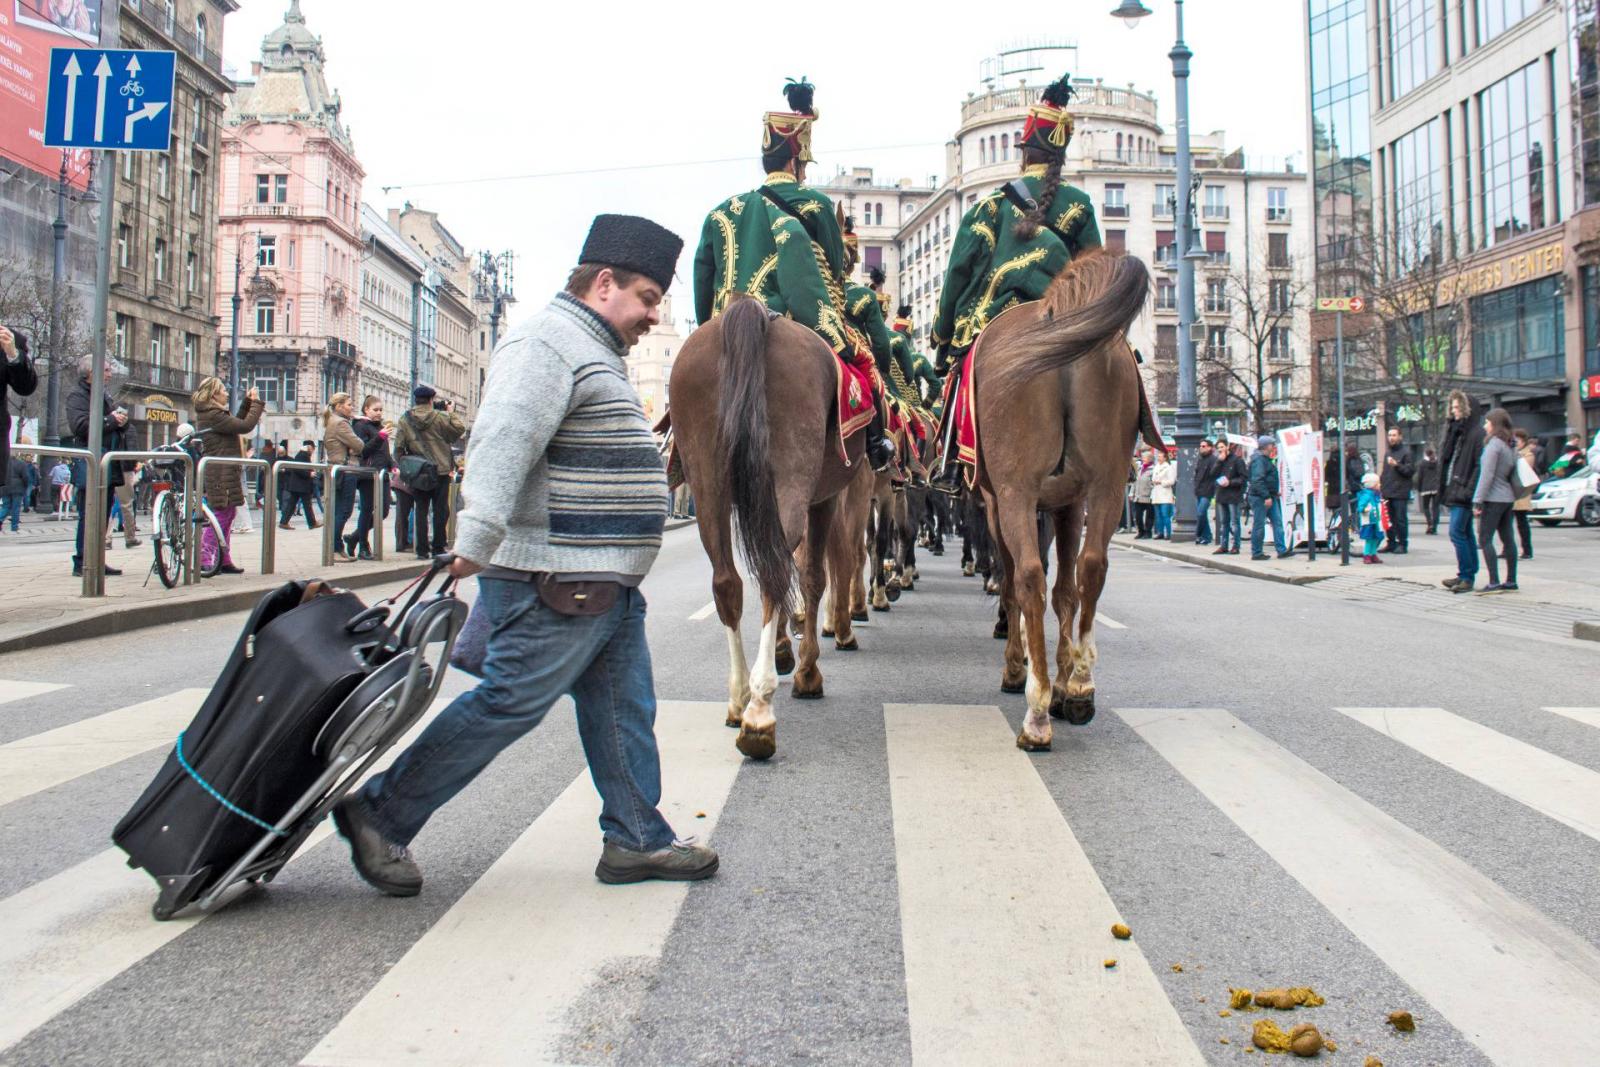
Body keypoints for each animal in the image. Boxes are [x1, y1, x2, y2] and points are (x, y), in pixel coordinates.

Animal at [665, 295, 864, 755]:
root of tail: (750, 311)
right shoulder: (824, 499)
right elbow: (812, 576)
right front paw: (806, 669)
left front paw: (786, 649)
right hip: (791, 478)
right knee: (777, 573)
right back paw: (760, 710)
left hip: (709, 488)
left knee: (729, 582)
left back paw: (740, 697)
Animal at [966, 251, 1158, 751]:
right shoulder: (1069, 504)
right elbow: (1066, 590)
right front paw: (1064, 676)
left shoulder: (1001, 504)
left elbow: (1020, 585)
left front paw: (1021, 668)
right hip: (1108, 485)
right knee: (1092, 567)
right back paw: (1080, 688)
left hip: (1017, 492)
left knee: (1029, 578)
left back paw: (1036, 710)